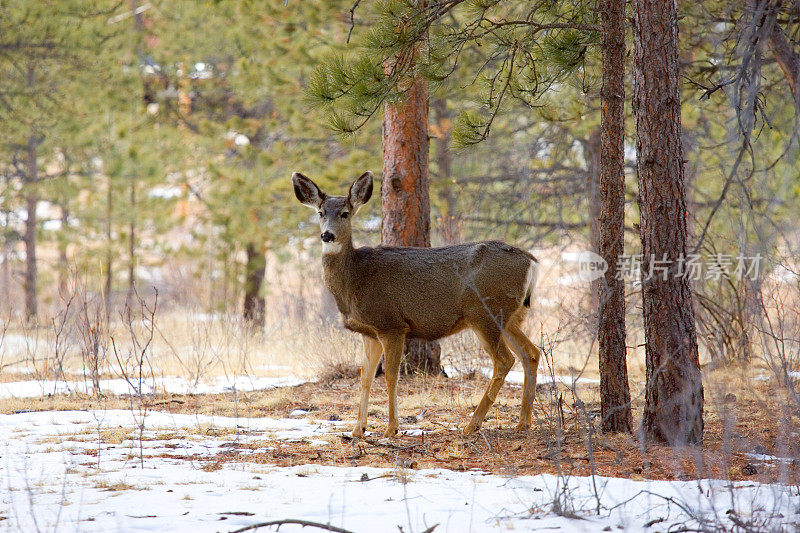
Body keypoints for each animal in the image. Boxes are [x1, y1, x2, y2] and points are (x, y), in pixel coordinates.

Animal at [294, 170, 544, 436]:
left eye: (345, 213)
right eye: (320, 213)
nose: (327, 235)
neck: (356, 280)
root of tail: (532, 262)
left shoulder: (391, 324)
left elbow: (391, 376)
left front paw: (391, 429)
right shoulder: (369, 332)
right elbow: (365, 376)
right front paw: (357, 430)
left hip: (485, 313)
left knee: (505, 360)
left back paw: (472, 424)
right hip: (511, 316)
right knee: (531, 353)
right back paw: (523, 422)